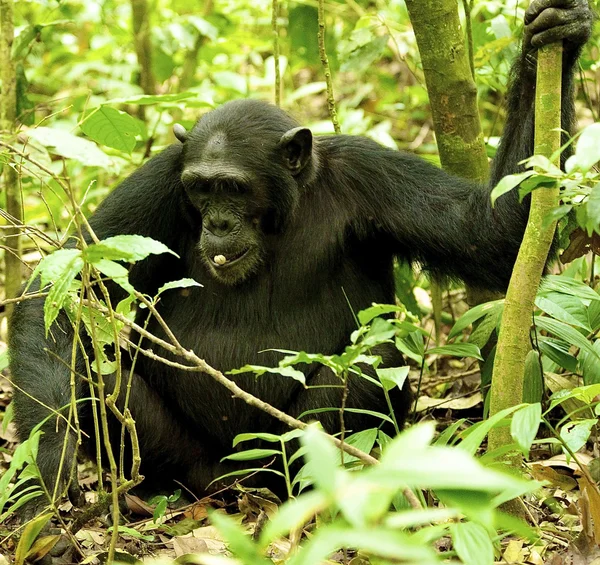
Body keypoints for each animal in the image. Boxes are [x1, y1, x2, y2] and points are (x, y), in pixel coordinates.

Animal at [7, 0, 592, 502]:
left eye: (233, 188)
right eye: (201, 189)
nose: (218, 222)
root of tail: (238, 483)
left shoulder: (371, 174)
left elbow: (489, 232)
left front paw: (558, 34)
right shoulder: (161, 181)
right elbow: (65, 284)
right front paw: (50, 461)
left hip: (279, 457)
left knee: (374, 359)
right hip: (190, 461)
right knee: (96, 370)